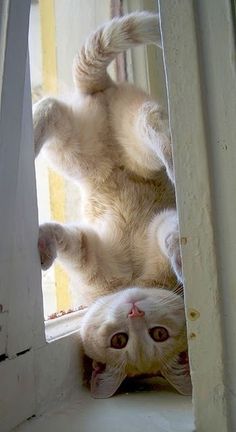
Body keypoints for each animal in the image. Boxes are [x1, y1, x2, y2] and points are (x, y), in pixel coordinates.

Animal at [34, 12, 191, 398]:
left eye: (158, 335)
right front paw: (43, 245)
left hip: (93, 145)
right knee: (48, 108)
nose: (133, 311)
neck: (130, 281)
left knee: (150, 123)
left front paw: (181, 259)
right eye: (119, 340)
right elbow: (64, 236)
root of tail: (104, 89)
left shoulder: (147, 228)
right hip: (79, 148)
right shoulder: (89, 249)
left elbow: (169, 233)